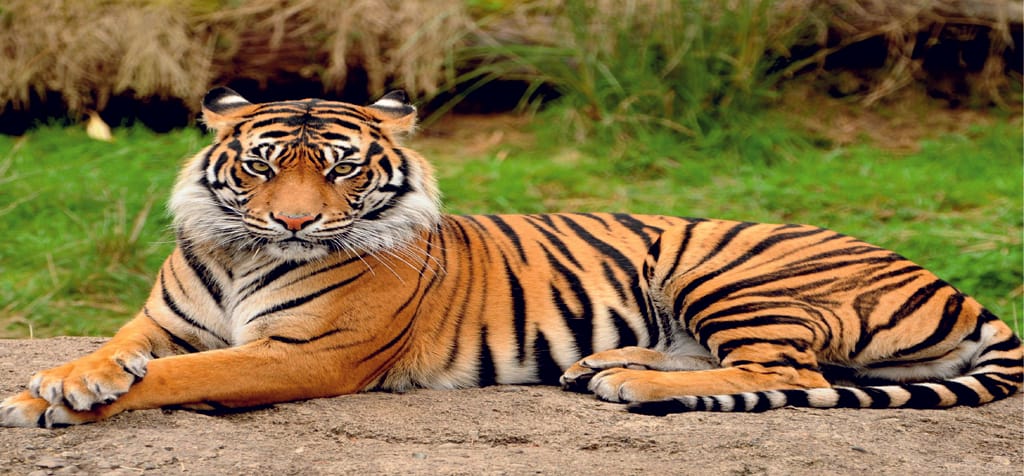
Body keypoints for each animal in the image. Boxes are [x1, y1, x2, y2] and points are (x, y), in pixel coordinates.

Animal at [1, 88, 1021, 428]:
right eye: (260, 165)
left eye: (339, 169)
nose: (292, 224)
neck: (243, 251)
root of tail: (954, 285)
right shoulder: (158, 320)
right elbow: (113, 351)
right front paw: (56, 381)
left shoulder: (308, 354)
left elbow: (185, 376)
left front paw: (59, 400)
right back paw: (604, 364)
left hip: (726, 267)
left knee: (788, 371)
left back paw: (629, 383)